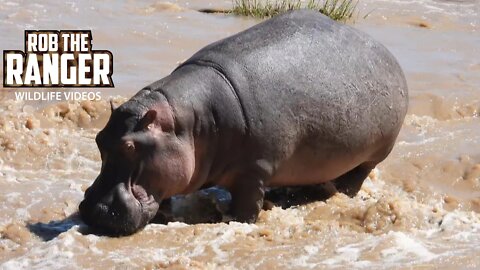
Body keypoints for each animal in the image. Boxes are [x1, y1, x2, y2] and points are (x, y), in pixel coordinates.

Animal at [79, 9, 408, 235]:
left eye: (131, 146)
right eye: (99, 139)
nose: (94, 209)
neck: (191, 124)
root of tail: (390, 57)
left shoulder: (255, 169)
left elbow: (247, 208)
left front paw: (232, 219)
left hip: (374, 155)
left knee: (355, 178)